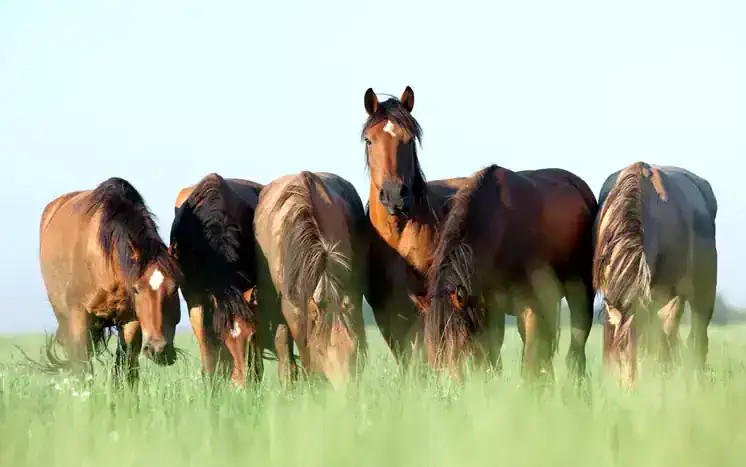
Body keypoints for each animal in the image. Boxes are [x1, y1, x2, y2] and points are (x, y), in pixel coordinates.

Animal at [38, 177, 182, 386]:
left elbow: (126, 365)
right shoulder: (79, 316)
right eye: (137, 289)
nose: (159, 350)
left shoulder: (131, 320)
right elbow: (81, 366)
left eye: (175, 288)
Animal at [416, 164, 598, 385]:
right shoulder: (490, 308)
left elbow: (530, 359)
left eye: (461, 345)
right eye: (432, 351)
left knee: (577, 342)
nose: (450, 390)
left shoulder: (531, 305)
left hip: (580, 291)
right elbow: (494, 356)